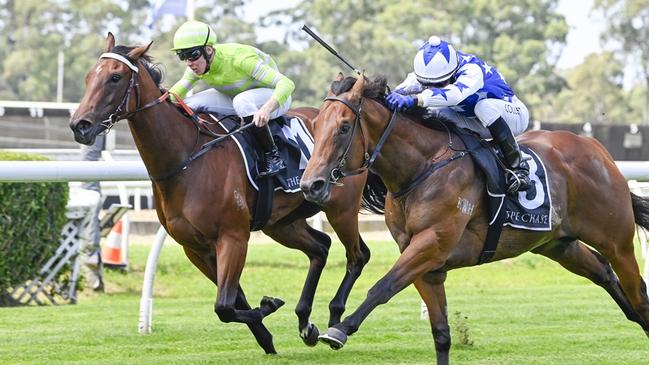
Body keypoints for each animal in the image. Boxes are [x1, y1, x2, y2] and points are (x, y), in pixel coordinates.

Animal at [68, 34, 382, 352]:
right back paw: (305, 321)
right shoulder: (195, 248)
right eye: (88, 77)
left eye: (115, 78)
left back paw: (335, 319)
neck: (187, 158)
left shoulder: (233, 237)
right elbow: (232, 301)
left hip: (340, 209)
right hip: (281, 223)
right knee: (320, 247)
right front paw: (267, 336)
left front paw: (269, 305)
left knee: (358, 255)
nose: (80, 125)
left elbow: (224, 306)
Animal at [302, 73, 648, 362]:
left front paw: (338, 329)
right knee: (604, 272)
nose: (311, 185)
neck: (422, 168)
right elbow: (441, 334)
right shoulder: (427, 264)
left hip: (617, 242)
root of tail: (596, 149)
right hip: (558, 244)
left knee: (638, 293)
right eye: (315, 127)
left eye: (344, 127)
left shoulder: (432, 244)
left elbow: (382, 287)